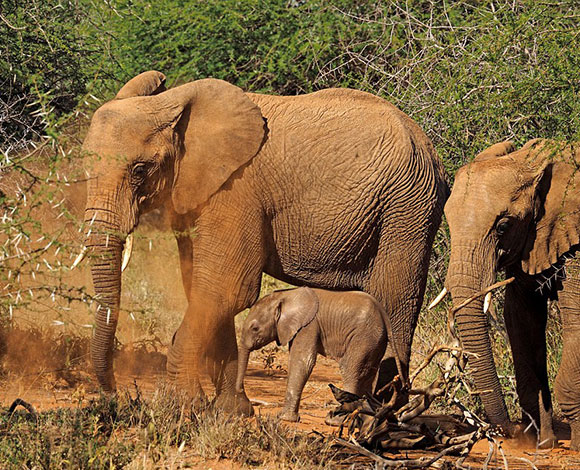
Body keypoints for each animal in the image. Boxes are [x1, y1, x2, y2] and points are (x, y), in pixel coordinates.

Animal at [236, 286, 398, 422]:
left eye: (255, 328)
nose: (247, 409)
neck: (286, 296)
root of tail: (384, 316)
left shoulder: (308, 326)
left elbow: (302, 361)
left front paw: (284, 418)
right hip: (375, 341)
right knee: (368, 374)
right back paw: (365, 418)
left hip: (363, 337)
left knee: (350, 371)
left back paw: (335, 420)